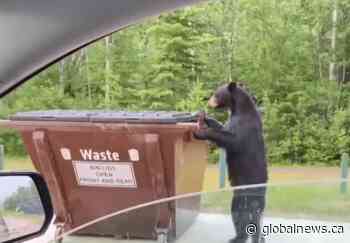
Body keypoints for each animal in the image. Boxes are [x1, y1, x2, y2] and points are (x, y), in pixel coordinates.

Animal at [194, 81, 268, 243]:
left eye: (216, 93)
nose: (208, 101)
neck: (239, 109)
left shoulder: (244, 127)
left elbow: (231, 139)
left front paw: (201, 132)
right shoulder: (231, 122)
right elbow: (222, 127)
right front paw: (204, 116)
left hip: (252, 193)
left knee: (253, 218)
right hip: (238, 197)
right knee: (237, 213)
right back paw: (237, 237)